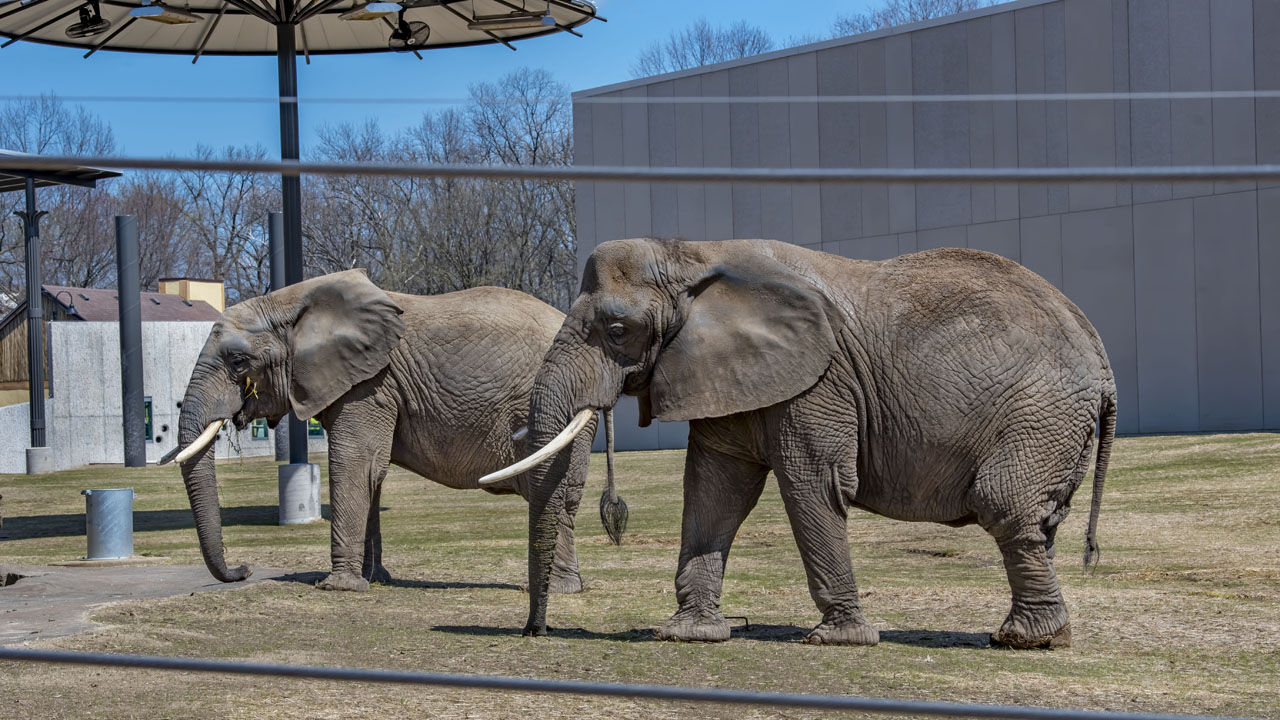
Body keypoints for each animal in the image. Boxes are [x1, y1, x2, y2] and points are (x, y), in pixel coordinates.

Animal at [165, 266, 624, 591]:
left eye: (238, 362)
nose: (243, 570)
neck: (290, 301)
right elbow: (373, 473)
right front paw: (374, 580)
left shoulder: (370, 383)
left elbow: (354, 464)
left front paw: (338, 588)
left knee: (557, 489)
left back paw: (561, 590)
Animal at [483, 238, 1116, 648]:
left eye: (617, 331)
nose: (534, 633)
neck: (691, 253)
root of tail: (1102, 359)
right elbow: (716, 487)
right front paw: (688, 634)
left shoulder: (818, 381)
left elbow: (813, 482)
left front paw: (839, 640)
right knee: (1037, 519)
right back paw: (1037, 635)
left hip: (1040, 413)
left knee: (1005, 507)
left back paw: (1025, 641)